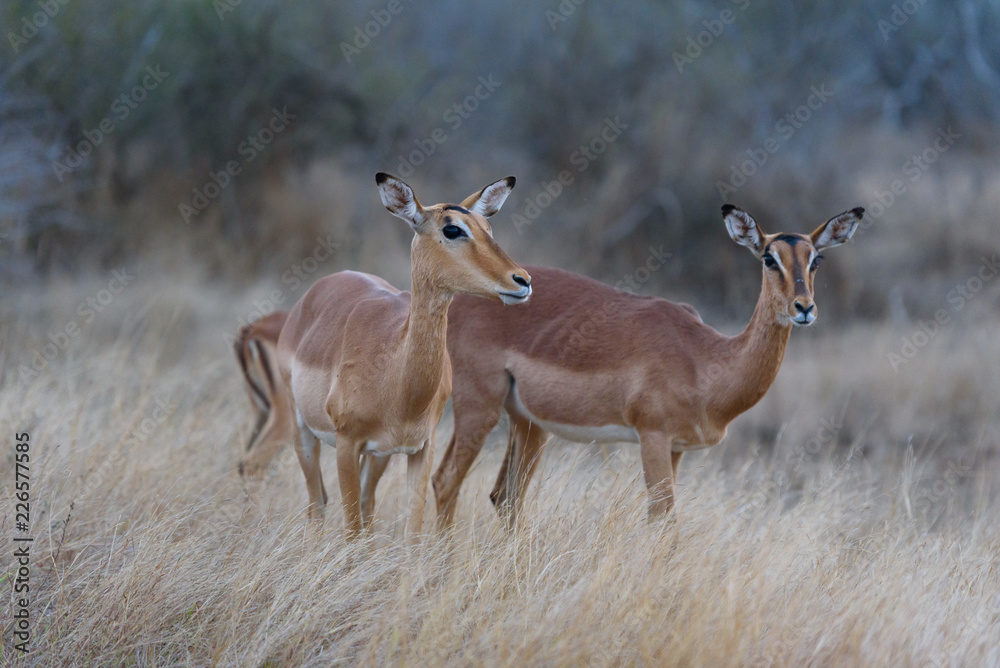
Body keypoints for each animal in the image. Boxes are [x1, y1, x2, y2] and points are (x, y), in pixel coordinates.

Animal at [266, 173, 530, 541]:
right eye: (452, 229)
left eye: (487, 228)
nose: (522, 280)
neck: (397, 377)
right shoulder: (347, 443)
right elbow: (350, 529)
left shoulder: (420, 448)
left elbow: (412, 533)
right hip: (303, 431)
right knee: (317, 502)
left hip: (379, 455)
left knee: (365, 504)